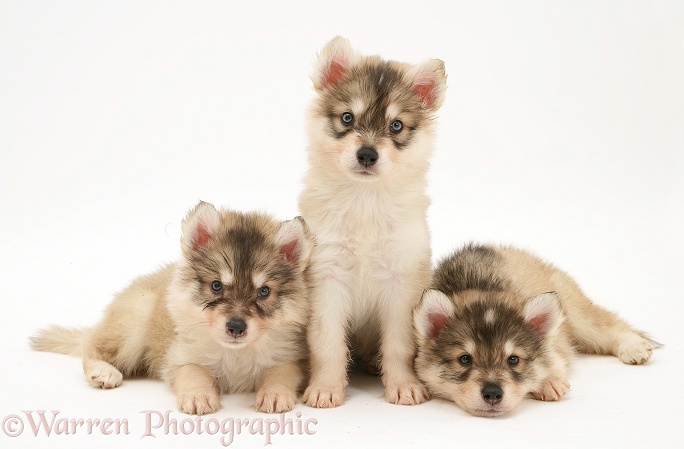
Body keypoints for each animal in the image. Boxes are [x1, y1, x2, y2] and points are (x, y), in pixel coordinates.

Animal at [29, 201, 312, 414]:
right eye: (216, 286)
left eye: (263, 292)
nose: (236, 327)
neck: (236, 354)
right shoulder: (181, 358)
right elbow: (195, 373)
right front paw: (199, 396)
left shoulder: (290, 358)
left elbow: (280, 372)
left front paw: (274, 394)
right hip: (135, 322)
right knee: (91, 344)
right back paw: (104, 371)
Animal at [300, 36, 448, 406]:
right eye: (347, 117)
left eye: (396, 125)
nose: (367, 154)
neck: (365, 199)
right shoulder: (328, 277)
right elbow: (328, 344)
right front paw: (325, 387)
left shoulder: (400, 282)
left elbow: (399, 345)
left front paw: (403, 385)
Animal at [414, 245, 660, 416]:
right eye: (465, 359)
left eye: (513, 360)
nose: (493, 393)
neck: (484, 288)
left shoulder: (555, 344)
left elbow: (555, 360)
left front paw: (550, 381)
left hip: (578, 315)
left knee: (610, 324)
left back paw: (634, 347)